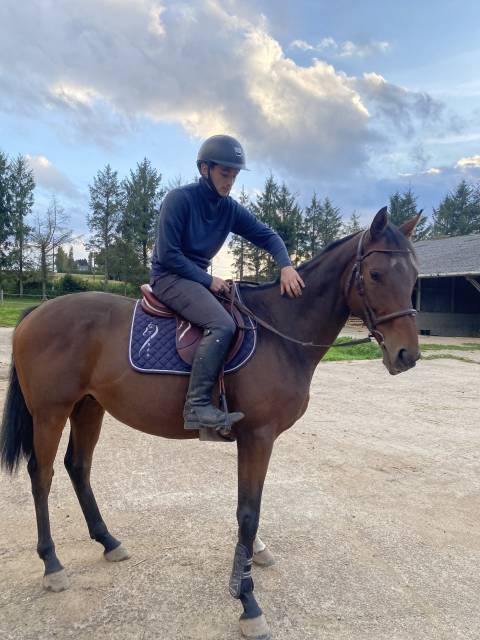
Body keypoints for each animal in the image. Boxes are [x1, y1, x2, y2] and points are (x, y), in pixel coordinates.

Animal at [0, 208, 420, 640]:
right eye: (375, 275)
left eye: (414, 276)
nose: (407, 354)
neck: (280, 331)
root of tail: (36, 314)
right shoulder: (257, 437)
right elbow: (248, 512)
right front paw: (247, 599)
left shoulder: (256, 440)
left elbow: (250, 506)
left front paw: (253, 557)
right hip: (50, 412)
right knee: (42, 475)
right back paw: (52, 564)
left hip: (89, 407)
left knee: (78, 466)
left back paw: (108, 541)